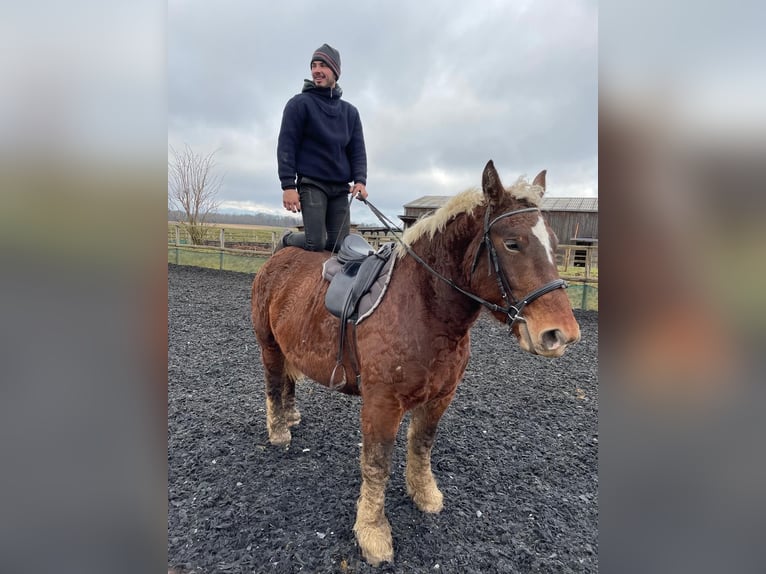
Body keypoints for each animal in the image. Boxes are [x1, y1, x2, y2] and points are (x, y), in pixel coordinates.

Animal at [252, 159, 584, 568]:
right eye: (512, 243)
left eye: (554, 244)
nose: (560, 334)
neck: (424, 308)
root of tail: (279, 258)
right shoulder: (381, 404)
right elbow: (377, 464)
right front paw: (373, 533)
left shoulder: (440, 397)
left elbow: (422, 445)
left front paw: (424, 495)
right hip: (268, 345)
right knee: (273, 382)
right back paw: (279, 429)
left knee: (288, 381)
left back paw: (291, 415)